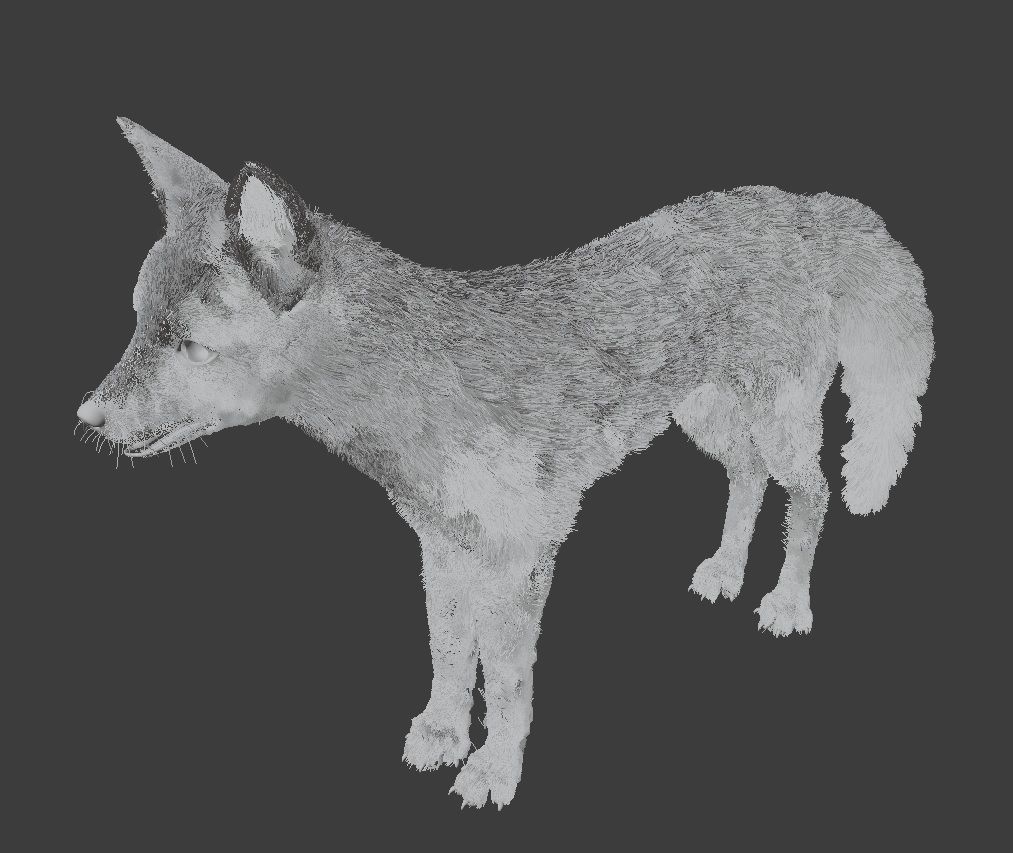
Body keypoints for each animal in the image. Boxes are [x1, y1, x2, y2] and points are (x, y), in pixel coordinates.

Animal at [77, 118, 933, 808]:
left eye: (191, 346)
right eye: (138, 325)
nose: (87, 418)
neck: (414, 401)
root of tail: (805, 206)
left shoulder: (519, 558)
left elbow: (512, 683)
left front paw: (494, 770)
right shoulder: (442, 547)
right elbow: (452, 655)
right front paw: (442, 732)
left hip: (775, 425)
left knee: (812, 494)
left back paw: (787, 601)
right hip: (708, 420)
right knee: (745, 478)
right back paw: (724, 569)